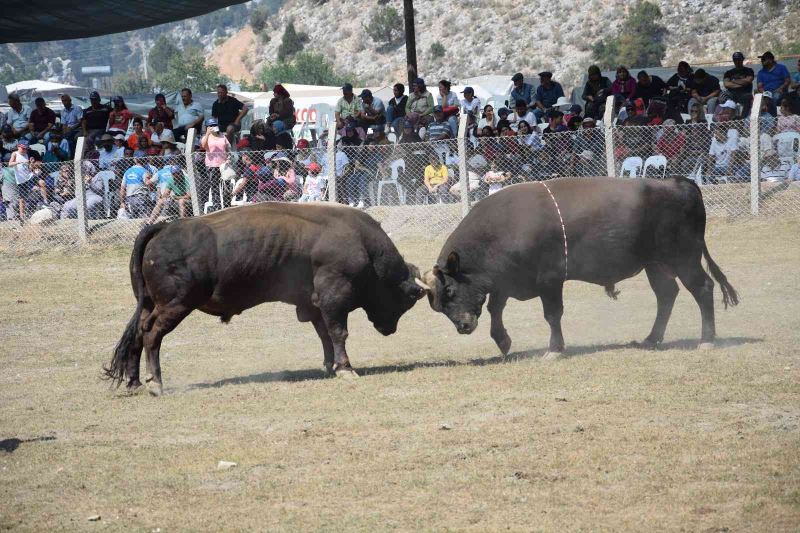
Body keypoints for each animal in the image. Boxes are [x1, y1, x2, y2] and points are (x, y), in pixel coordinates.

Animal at [110, 202, 432, 392]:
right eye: (408, 298)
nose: (389, 329)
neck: (362, 244)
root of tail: (164, 227)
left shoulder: (314, 304)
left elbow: (325, 336)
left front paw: (329, 366)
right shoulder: (334, 299)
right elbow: (338, 333)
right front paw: (345, 369)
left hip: (150, 304)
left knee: (137, 335)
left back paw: (135, 383)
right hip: (175, 305)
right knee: (152, 333)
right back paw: (155, 383)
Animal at [418, 176, 736, 358]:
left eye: (450, 291)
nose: (463, 326)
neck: (501, 228)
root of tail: (679, 182)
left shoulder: (549, 280)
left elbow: (552, 314)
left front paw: (554, 349)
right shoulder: (504, 282)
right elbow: (497, 308)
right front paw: (503, 340)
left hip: (684, 258)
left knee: (702, 288)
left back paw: (706, 340)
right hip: (655, 264)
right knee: (667, 294)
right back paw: (651, 339)